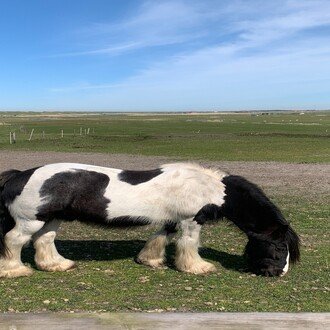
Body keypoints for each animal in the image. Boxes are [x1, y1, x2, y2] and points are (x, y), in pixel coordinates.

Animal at [0, 162, 300, 278]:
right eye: (279, 248)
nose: (278, 274)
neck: (210, 187)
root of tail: (20, 175)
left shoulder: (173, 219)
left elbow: (160, 238)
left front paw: (150, 260)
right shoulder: (191, 220)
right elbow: (189, 244)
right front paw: (198, 267)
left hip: (52, 219)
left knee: (45, 240)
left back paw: (57, 265)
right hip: (31, 220)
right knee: (14, 240)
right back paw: (14, 270)